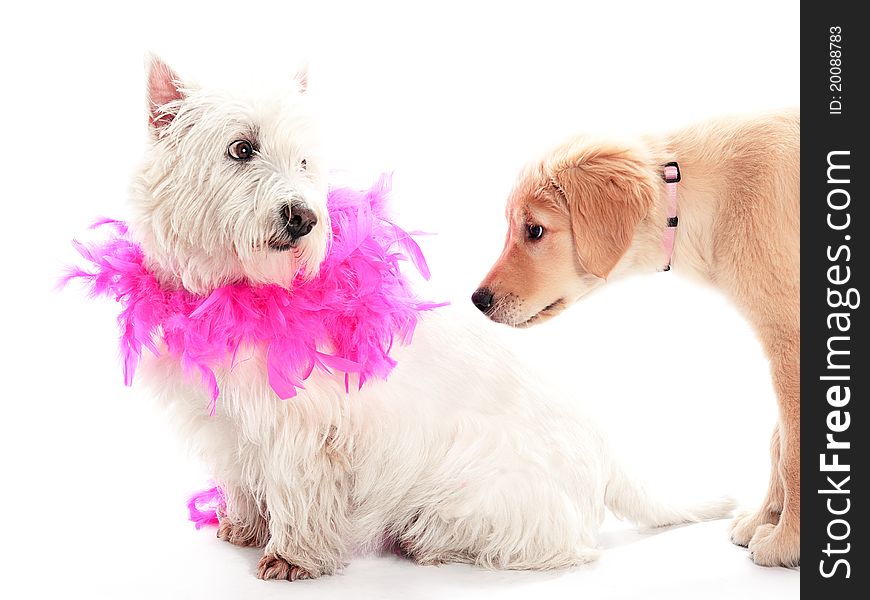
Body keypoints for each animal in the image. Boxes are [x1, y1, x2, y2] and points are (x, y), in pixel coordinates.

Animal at [129, 57, 732, 580]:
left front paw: (292, 556)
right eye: (241, 148)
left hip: (485, 494)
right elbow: (242, 476)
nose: (303, 218)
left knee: (557, 546)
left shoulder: (307, 430)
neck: (245, 290)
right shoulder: (232, 424)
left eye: (303, 161)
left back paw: (430, 543)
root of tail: (606, 450)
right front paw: (245, 526)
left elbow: (298, 492)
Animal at [476, 109, 804, 568]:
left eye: (535, 230)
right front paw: (764, 521)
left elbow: (792, 449)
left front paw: (786, 542)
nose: (477, 300)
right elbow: (778, 439)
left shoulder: (789, 341)